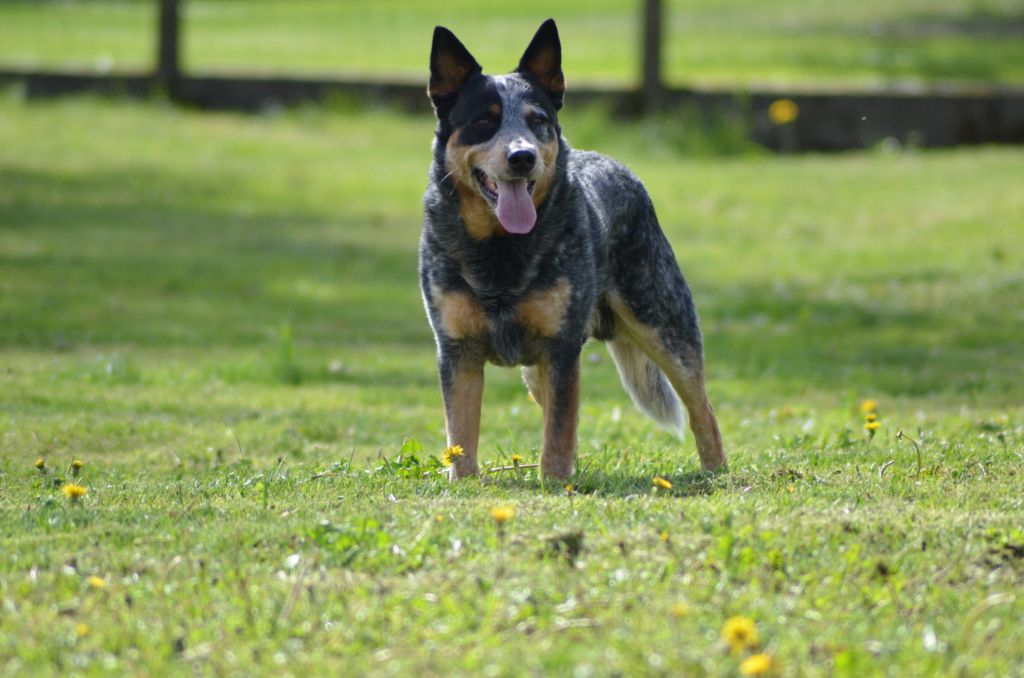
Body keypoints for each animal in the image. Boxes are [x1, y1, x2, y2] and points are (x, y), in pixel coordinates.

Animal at [419, 17, 724, 483]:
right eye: (484, 121)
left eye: (538, 120)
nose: (522, 156)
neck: (500, 249)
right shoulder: (457, 351)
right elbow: (461, 433)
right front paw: (464, 483)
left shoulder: (561, 349)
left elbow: (560, 429)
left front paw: (556, 482)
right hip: (537, 370)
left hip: (665, 326)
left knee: (702, 407)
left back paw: (716, 471)